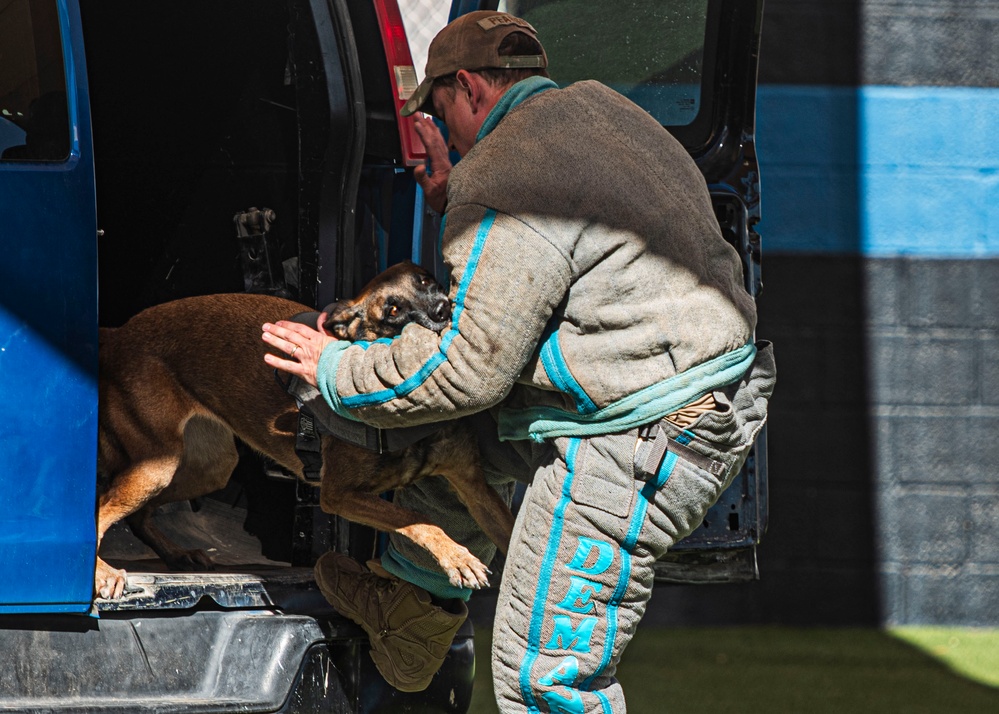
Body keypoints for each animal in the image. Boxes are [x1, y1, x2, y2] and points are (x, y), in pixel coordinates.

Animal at [96, 258, 512, 596]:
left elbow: (510, 531)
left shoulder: (473, 485)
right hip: (157, 467)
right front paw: (457, 557)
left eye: (426, 281)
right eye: (393, 310)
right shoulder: (340, 494)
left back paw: (177, 554)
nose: (443, 310)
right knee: (100, 511)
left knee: (137, 516)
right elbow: (417, 519)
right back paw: (101, 573)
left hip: (207, 467)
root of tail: (119, 333)